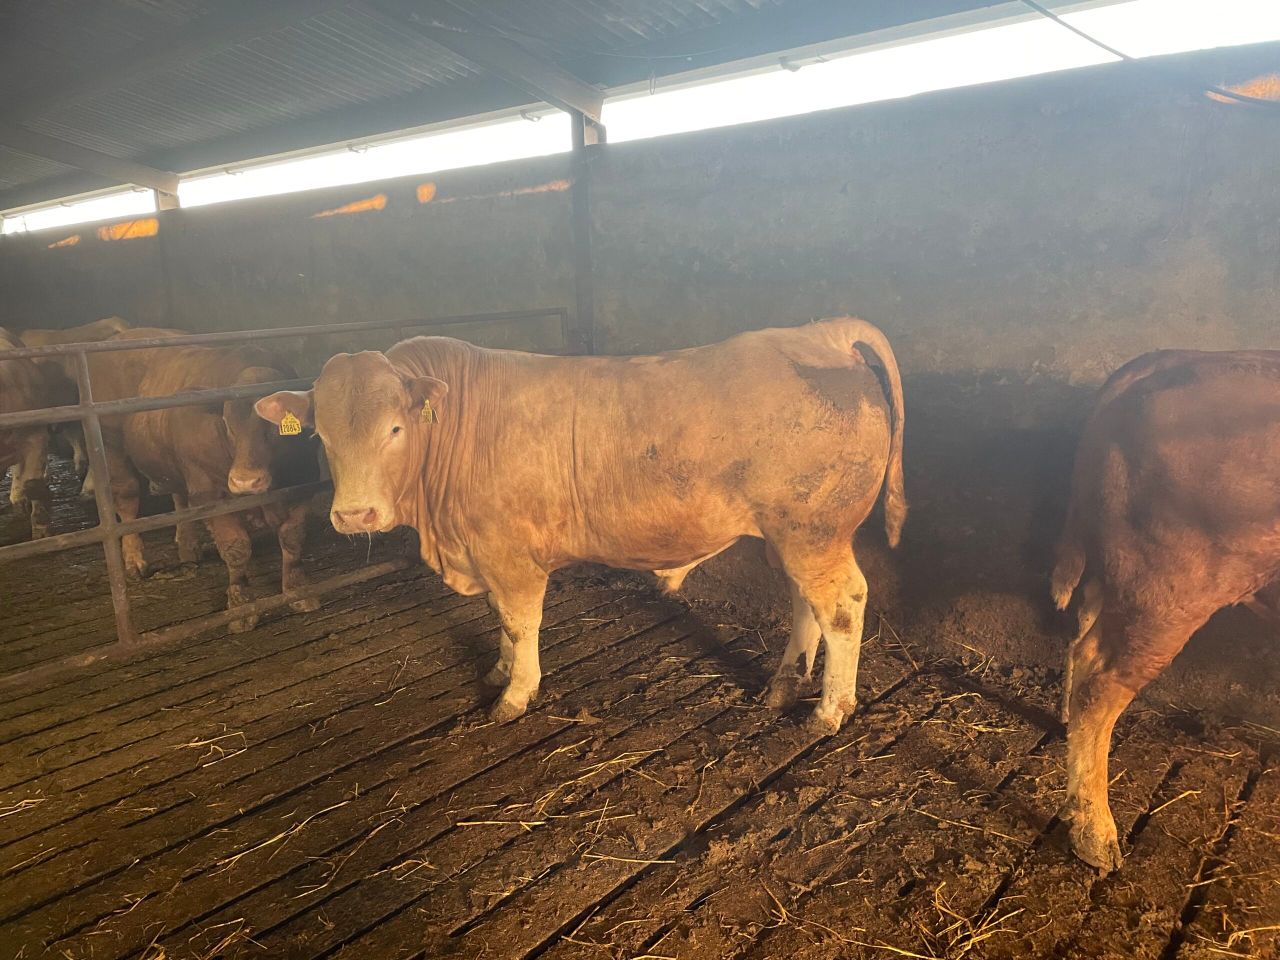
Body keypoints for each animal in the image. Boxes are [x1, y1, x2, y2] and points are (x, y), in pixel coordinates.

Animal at [89, 329, 322, 631]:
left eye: (274, 428)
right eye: (226, 423)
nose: (245, 482)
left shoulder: (304, 484)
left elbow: (292, 539)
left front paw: (298, 591)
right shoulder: (211, 493)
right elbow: (236, 549)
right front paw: (241, 605)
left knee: (179, 498)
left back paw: (188, 546)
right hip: (112, 448)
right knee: (127, 501)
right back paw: (134, 558)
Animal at [255, 317, 906, 730]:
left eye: (394, 428)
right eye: (321, 435)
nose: (354, 514)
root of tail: (818, 332)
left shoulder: (510, 554)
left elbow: (520, 622)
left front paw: (515, 693)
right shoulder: (486, 553)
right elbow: (500, 619)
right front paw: (498, 670)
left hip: (813, 530)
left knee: (843, 604)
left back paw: (829, 709)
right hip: (793, 535)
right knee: (806, 603)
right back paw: (782, 685)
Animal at [1052, 349, 1280, 872]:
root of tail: (1164, 358)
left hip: (1119, 573)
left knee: (1083, 636)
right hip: (1170, 590)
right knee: (1100, 687)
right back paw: (1096, 836)